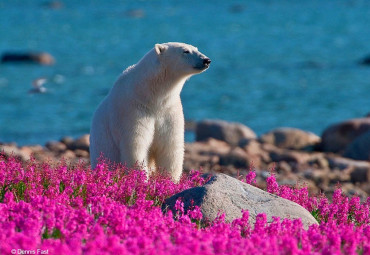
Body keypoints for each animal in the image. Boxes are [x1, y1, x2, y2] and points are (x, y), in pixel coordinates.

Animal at [90, 41, 211, 181]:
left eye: (196, 48)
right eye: (185, 51)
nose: (206, 60)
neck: (150, 96)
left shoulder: (169, 110)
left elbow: (170, 147)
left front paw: (170, 181)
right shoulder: (133, 110)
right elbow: (136, 146)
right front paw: (141, 179)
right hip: (103, 147)